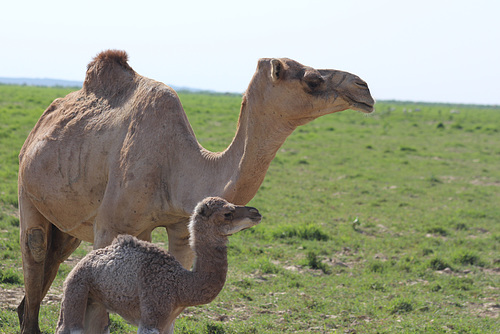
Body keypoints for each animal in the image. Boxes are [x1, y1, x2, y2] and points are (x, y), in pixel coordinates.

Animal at [55, 197, 262, 332]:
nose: (256, 212)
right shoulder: (152, 316)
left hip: (92, 299)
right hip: (77, 290)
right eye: (227, 213)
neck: (181, 285)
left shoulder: (168, 322)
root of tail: (79, 265)